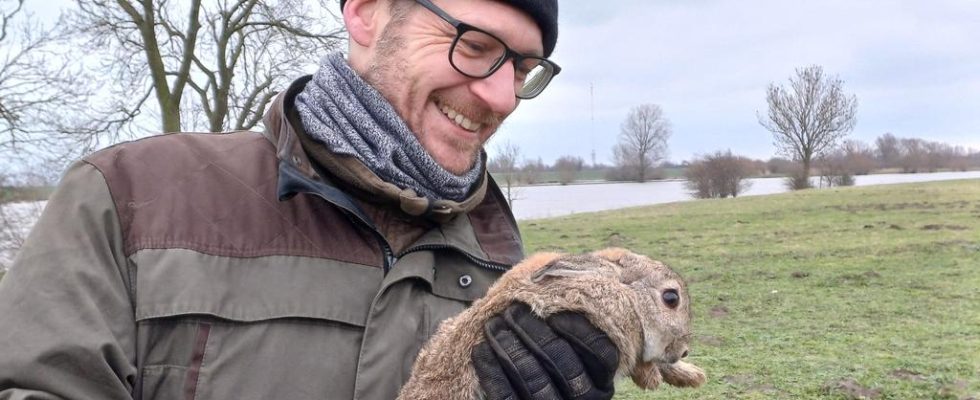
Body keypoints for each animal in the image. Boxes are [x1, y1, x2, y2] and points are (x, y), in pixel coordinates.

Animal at [394, 248, 708, 398]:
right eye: (671, 298)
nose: (684, 350)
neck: (625, 293)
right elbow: (641, 362)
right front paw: (655, 377)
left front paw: (692, 376)